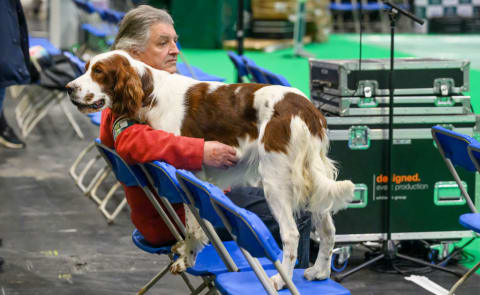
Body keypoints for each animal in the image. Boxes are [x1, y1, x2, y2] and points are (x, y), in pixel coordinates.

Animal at [65, 51, 354, 292]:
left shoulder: (187, 173)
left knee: (292, 234)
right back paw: (319, 271)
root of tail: (307, 109)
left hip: (277, 180)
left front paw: (187, 257)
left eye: (99, 71)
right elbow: (193, 222)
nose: (69, 88)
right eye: (86, 67)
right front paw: (186, 255)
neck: (150, 93)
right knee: (327, 229)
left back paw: (279, 280)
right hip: (309, 179)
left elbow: (193, 224)